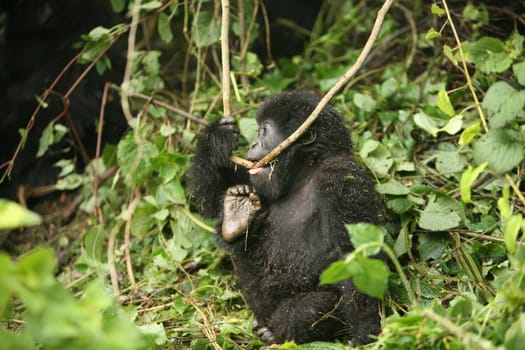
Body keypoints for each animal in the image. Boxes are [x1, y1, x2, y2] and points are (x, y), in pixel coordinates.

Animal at [188, 91, 380, 344]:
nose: (253, 144)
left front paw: (365, 333)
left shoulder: (341, 177)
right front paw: (217, 138)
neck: (305, 172)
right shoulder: (256, 180)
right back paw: (236, 219)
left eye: (264, 131)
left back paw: (276, 332)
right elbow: (209, 203)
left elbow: (352, 253)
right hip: (259, 304)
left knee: (318, 304)